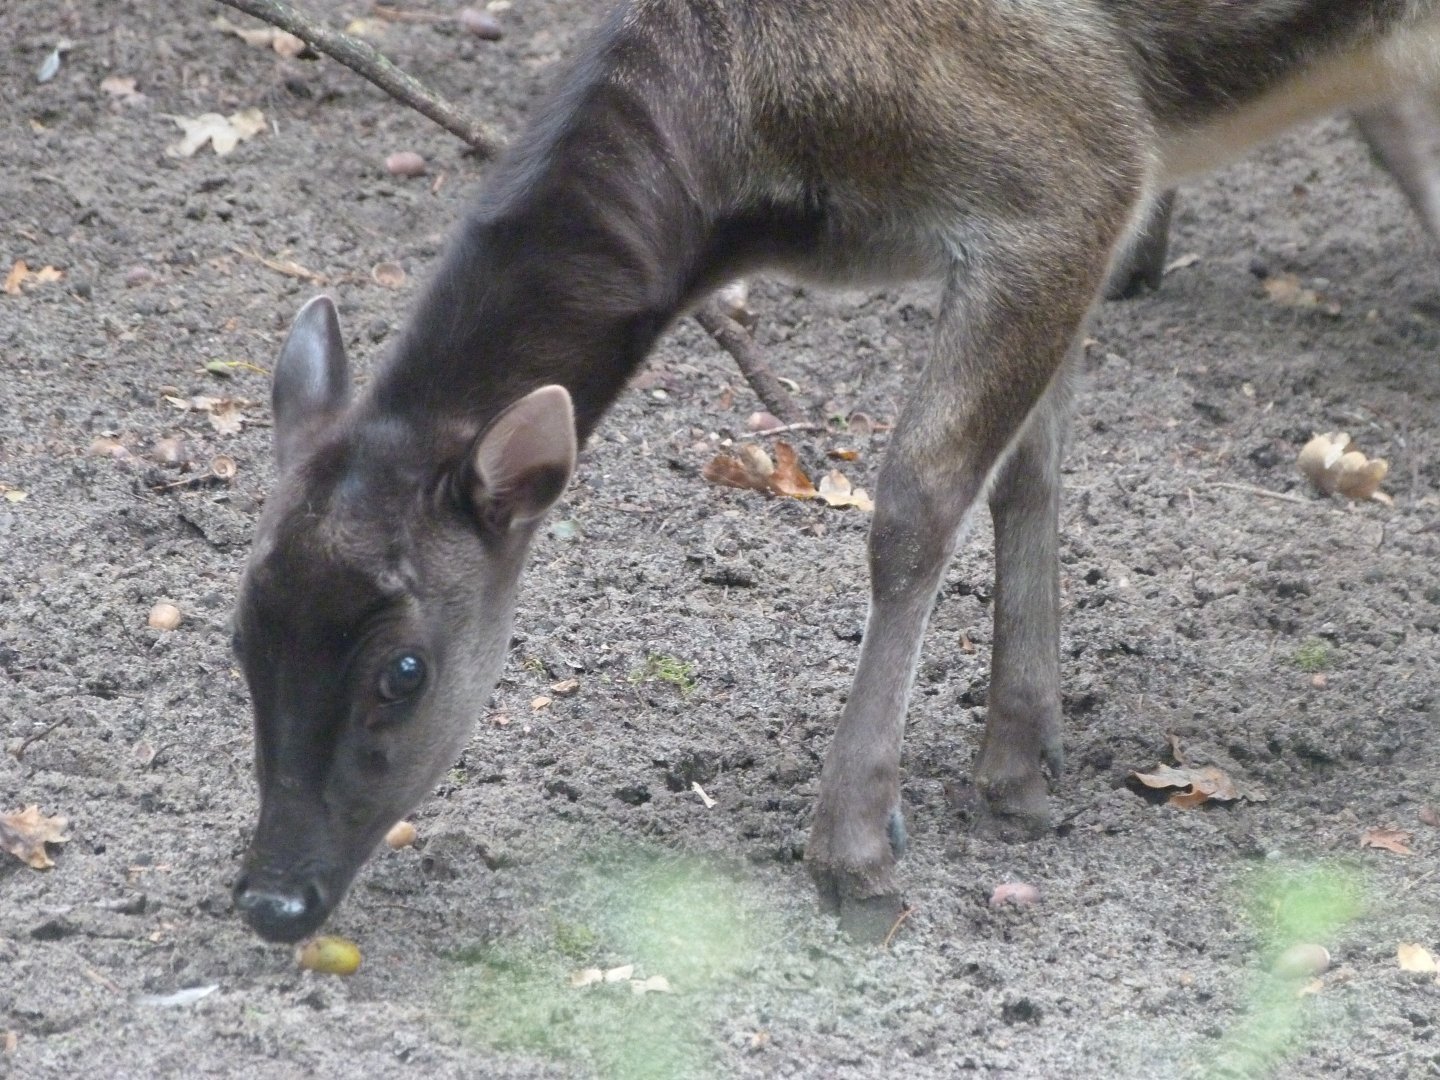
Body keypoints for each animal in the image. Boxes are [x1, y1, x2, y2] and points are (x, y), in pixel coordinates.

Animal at [230, 0, 1440, 944]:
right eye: (239, 637)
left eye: (404, 669)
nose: (270, 900)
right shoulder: (1071, 220)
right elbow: (1030, 470)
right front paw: (1022, 768)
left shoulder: (1072, 168)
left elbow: (918, 498)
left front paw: (857, 852)